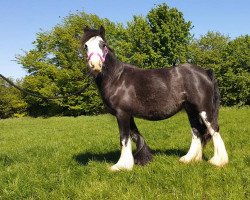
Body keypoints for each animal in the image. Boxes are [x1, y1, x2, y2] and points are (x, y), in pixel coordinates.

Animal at [80, 25, 229, 171]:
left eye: (103, 44)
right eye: (86, 46)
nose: (95, 65)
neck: (116, 78)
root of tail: (205, 72)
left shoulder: (122, 113)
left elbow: (124, 138)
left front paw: (121, 166)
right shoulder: (128, 114)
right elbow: (135, 135)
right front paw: (142, 159)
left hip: (204, 109)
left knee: (213, 128)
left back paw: (218, 161)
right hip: (191, 110)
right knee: (197, 131)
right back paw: (189, 159)